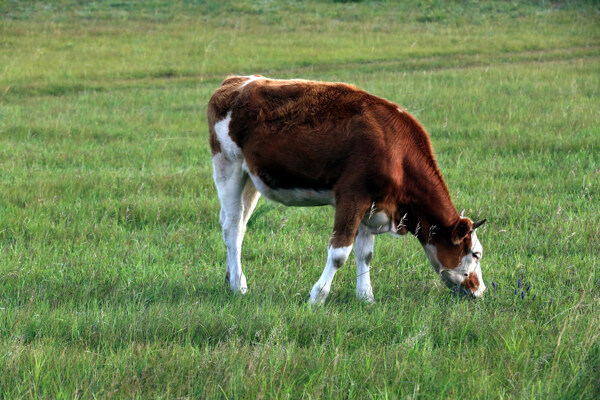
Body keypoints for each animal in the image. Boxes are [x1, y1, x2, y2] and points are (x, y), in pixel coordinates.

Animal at [207, 75, 488, 304]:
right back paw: (239, 286)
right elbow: (339, 253)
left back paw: (231, 277)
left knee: (240, 224)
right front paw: (317, 297)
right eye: (475, 254)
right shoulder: (352, 197)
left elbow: (366, 254)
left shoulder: (373, 205)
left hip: (250, 178)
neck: (395, 149)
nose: (482, 290)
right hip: (227, 166)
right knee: (232, 227)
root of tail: (236, 81)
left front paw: (366, 297)